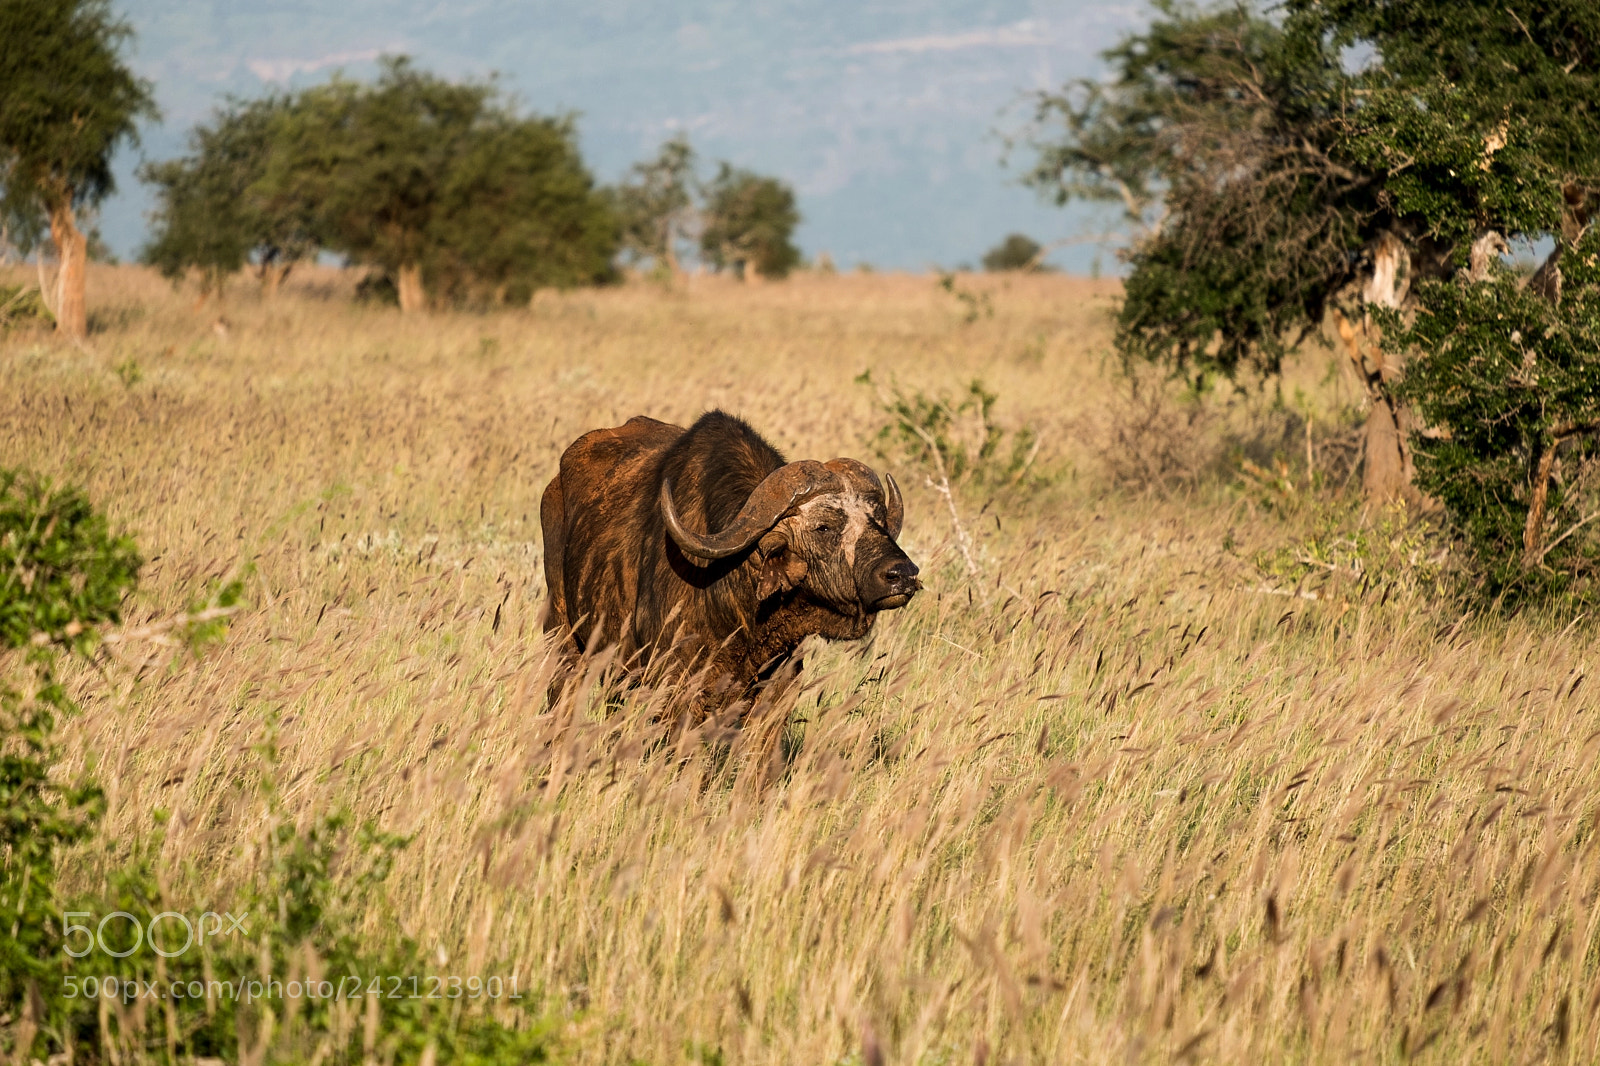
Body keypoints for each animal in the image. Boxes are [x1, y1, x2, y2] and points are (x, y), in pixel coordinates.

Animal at [540, 410, 920, 713]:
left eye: (878, 519)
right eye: (824, 526)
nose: (903, 574)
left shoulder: (777, 692)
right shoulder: (674, 690)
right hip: (564, 641)